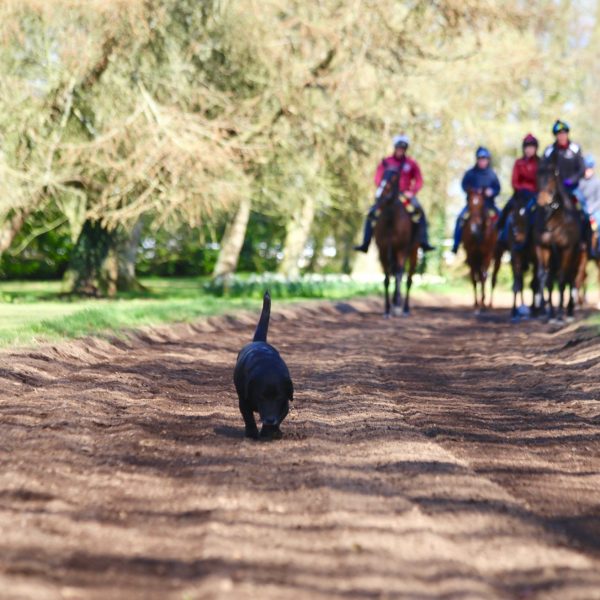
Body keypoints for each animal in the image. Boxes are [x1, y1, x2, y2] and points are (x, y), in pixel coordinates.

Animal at [232, 292, 292, 440]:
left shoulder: (285, 403)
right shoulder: (244, 401)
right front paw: (252, 433)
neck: (267, 366)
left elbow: (279, 417)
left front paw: (269, 432)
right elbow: (248, 417)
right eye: (260, 397)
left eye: (278, 397)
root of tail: (259, 341)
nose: (270, 419)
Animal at [372, 169, 420, 318]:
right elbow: (387, 279)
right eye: (382, 175)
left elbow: (399, 275)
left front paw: (397, 303)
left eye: (394, 178)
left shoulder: (401, 249)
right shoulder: (382, 250)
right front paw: (387, 309)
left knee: (408, 279)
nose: (378, 197)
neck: (391, 219)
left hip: (413, 253)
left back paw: (404, 308)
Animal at [536, 158, 580, 318]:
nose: (542, 200)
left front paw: (560, 313)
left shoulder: (567, 249)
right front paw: (546, 312)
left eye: (552, 178)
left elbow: (562, 278)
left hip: (577, 256)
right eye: (537, 177)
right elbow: (543, 276)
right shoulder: (543, 247)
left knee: (572, 277)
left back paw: (569, 310)